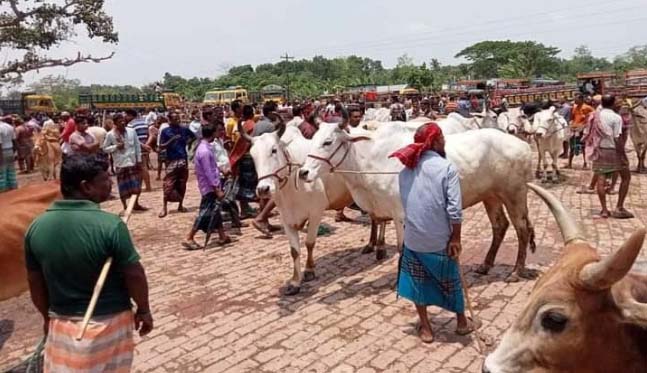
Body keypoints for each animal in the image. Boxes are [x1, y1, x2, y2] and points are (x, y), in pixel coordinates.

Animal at [298, 120, 536, 280]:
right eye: (312, 139)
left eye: (328, 142)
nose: (303, 172)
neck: (370, 161)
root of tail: (522, 145)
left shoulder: (400, 215)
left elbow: (402, 249)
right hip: (491, 196)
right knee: (500, 226)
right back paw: (486, 265)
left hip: (514, 194)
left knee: (522, 229)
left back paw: (517, 270)